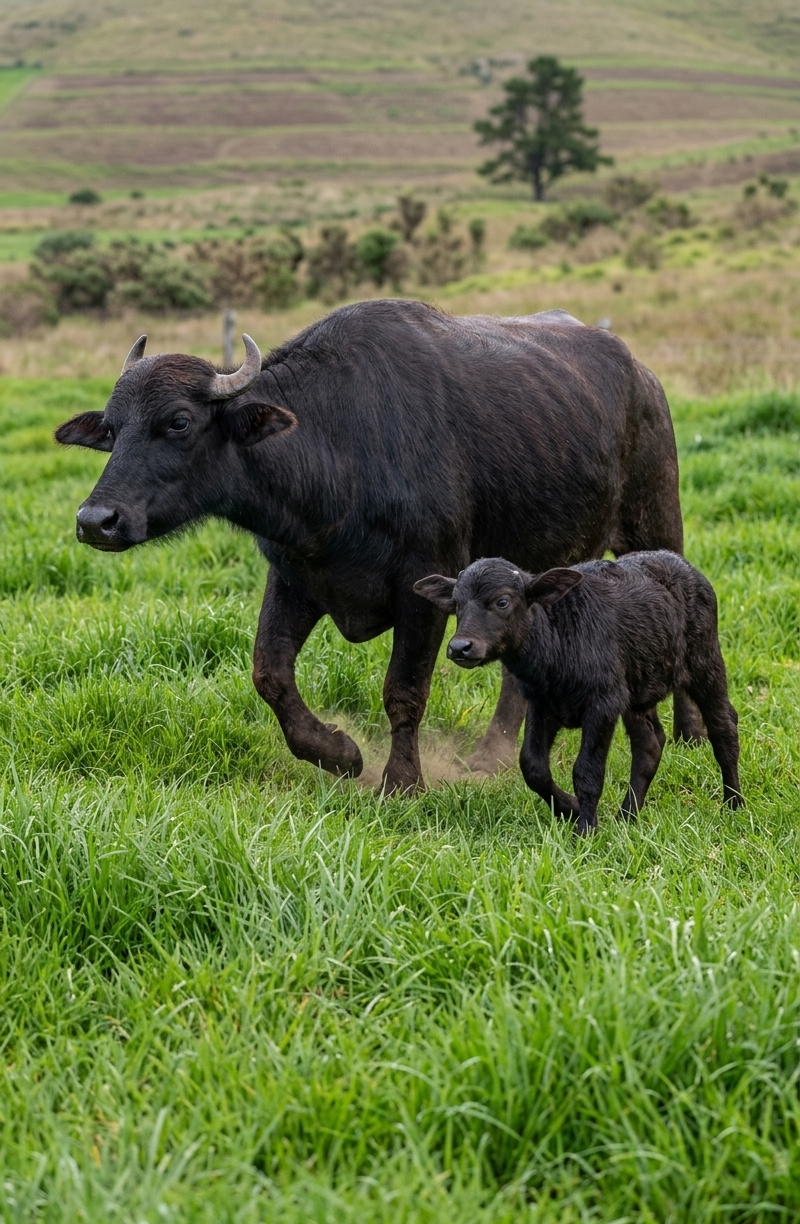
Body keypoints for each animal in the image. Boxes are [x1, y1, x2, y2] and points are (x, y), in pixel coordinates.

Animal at [55, 299, 700, 793]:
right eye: (111, 428)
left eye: (179, 421)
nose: (95, 520)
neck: (335, 449)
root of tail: (642, 376)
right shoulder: (296, 578)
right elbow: (270, 675)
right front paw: (338, 753)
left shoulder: (426, 588)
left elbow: (404, 691)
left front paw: (402, 781)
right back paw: (490, 755)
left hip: (656, 521)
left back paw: (692, 731)